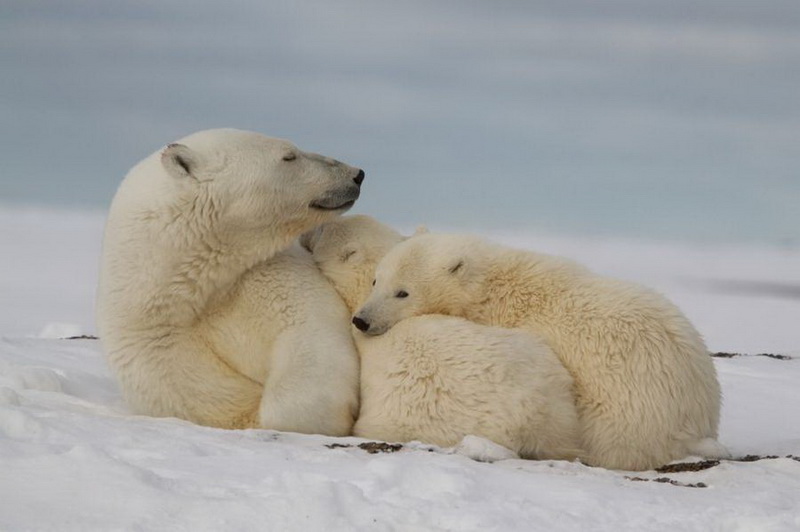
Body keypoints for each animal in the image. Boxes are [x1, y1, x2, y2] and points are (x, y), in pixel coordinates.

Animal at [95, 130, 364, 436]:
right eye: (289, 156)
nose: (356, 175)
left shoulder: (269, 275)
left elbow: (307, 333)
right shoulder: (152, 335)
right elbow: (201, 394)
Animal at [354, 233, 728, 470]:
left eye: (402, 292)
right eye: (376, 280)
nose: (361, 320)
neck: (492, 287)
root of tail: (699, 419)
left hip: (618, 414)